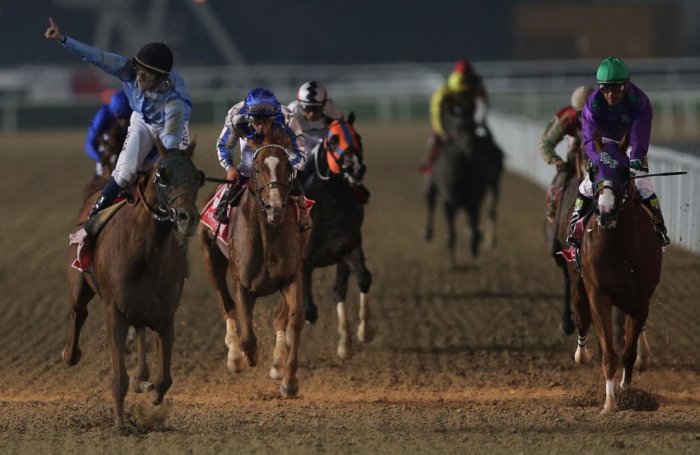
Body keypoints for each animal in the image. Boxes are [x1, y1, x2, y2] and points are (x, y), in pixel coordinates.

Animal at [63, 139, 204, 427]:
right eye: (163, 175)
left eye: (197, 177)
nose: (187, 218)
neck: (145, 250)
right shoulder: (114, 312)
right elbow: (119, 378)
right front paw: (120, 423)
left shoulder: (165, 316)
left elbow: (166, 379)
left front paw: (151, 394)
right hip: (80, 284)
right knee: (78, 312)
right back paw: (70, 354)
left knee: (139, 328)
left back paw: (142, 377)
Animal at [199, 126, 308, 397]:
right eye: (257, 169)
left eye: (286, 168)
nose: (275, 207)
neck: (267, 234)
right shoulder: (242, 283)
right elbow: (247, 334)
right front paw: (246, 356)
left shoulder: (292, 277)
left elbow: (293, 320)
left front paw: (289, 381)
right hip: (211, 260)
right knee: (226, 305)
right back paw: (235, 357)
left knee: (280, 318)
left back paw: (277, 365)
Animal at [299, 113, 374, 359]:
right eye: (333, 140)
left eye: (358, 136)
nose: (356, 169)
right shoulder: (304, 260)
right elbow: (307, 308)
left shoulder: (348, 247)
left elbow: (362, 279)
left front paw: (361, 333)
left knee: (339, 290)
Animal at [423, 107, 503, 267]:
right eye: (458, 128)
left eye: (474, 126)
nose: (469, 145)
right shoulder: (450, 203)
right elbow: (452, 233)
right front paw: (451, 261)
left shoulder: (473, 199)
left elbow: (473, 222)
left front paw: (475, 244)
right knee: (430, 201)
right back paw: (428, 233)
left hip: (493, 184)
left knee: (490, 211)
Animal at [576, 140, 661, 413]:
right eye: (595, 170)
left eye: (625, 171)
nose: (605, 211)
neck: (616, 247)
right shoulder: (599, 296)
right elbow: (609, 354)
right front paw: (609, 403)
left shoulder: (640, 300)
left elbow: (628, 352)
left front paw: (627, 392)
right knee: (580, 313)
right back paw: (582, 354)